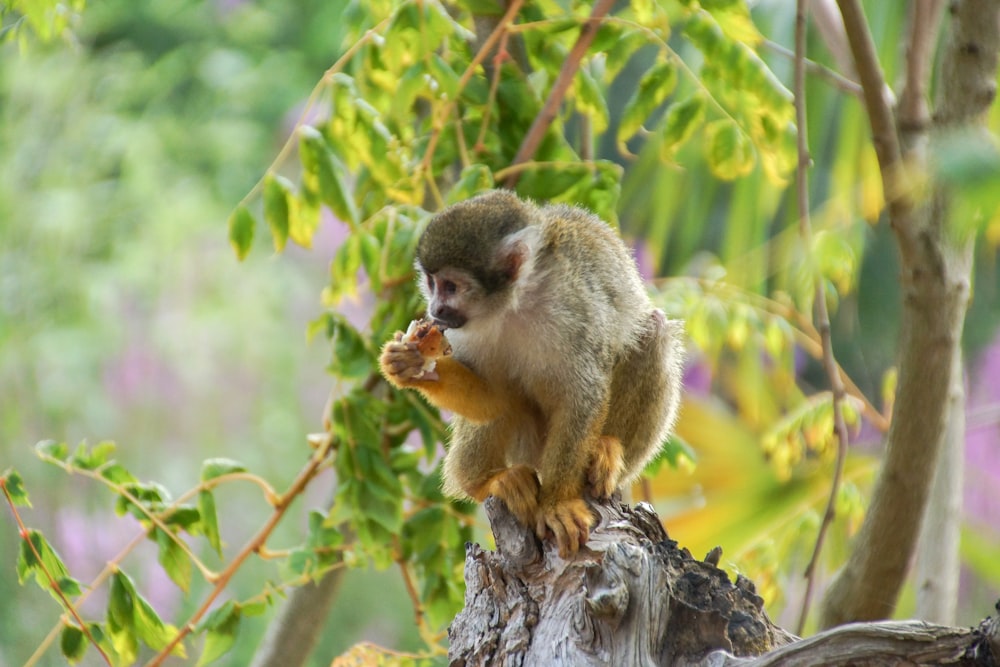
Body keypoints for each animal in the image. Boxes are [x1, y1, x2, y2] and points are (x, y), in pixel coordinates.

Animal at [378, 192, 684, 560]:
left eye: (451, 287)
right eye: (432, 284)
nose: (435, 309)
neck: (514, 303)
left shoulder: (574, 311)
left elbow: (581, 396)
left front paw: (556, 504)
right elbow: (493, 400)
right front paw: (411, 365)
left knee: (653, 330)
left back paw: (606, 450)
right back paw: (485, 482)